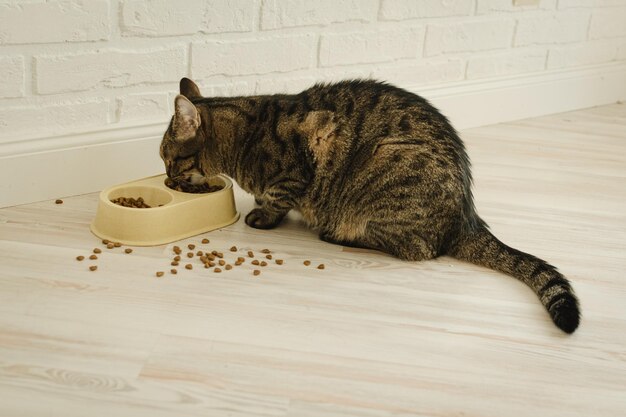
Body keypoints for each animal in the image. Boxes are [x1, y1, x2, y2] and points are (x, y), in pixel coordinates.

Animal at [161, 76, 580, 334]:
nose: (165, 179)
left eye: (167, 158)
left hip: (385, 165)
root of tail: (466, 218)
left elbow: (277, 198)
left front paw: (262, 215)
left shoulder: (296, 170)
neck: (242, 137)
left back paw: (338, 233)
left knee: (417, 250)